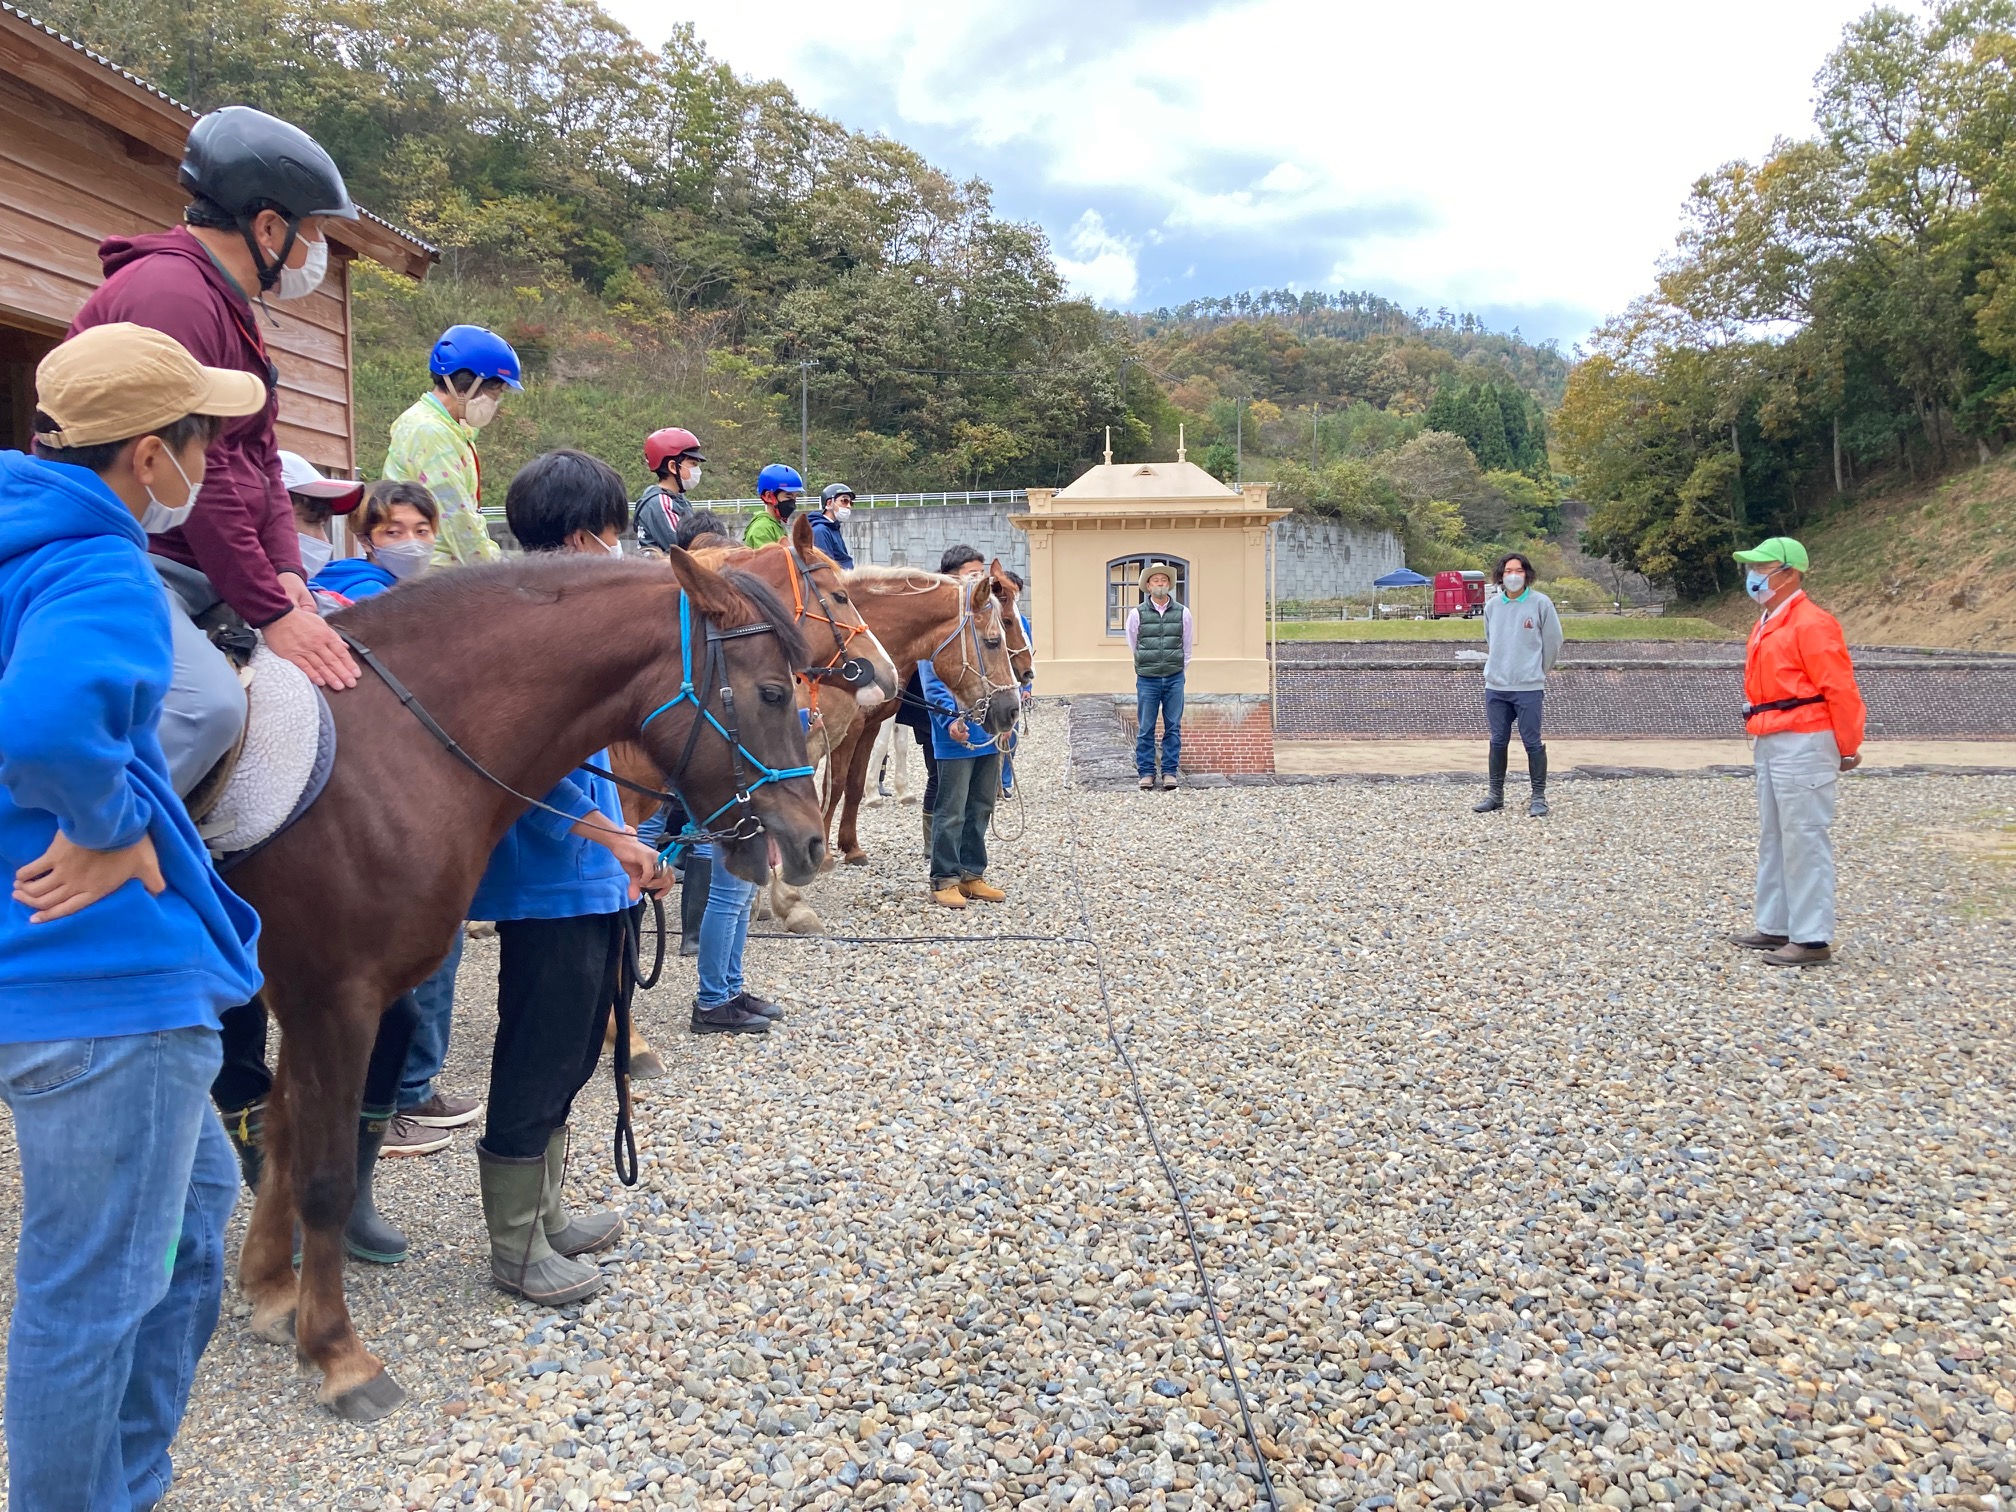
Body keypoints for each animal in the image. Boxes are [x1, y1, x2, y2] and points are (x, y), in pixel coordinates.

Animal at [220, 552, 818, 1419]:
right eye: (772, 693)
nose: (808, 844)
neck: (393, 753)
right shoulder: (336, 998)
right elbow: (324, 1174)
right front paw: (336, 1351)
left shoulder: (299, 993)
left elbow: (287, 1134)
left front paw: (271, 1290)